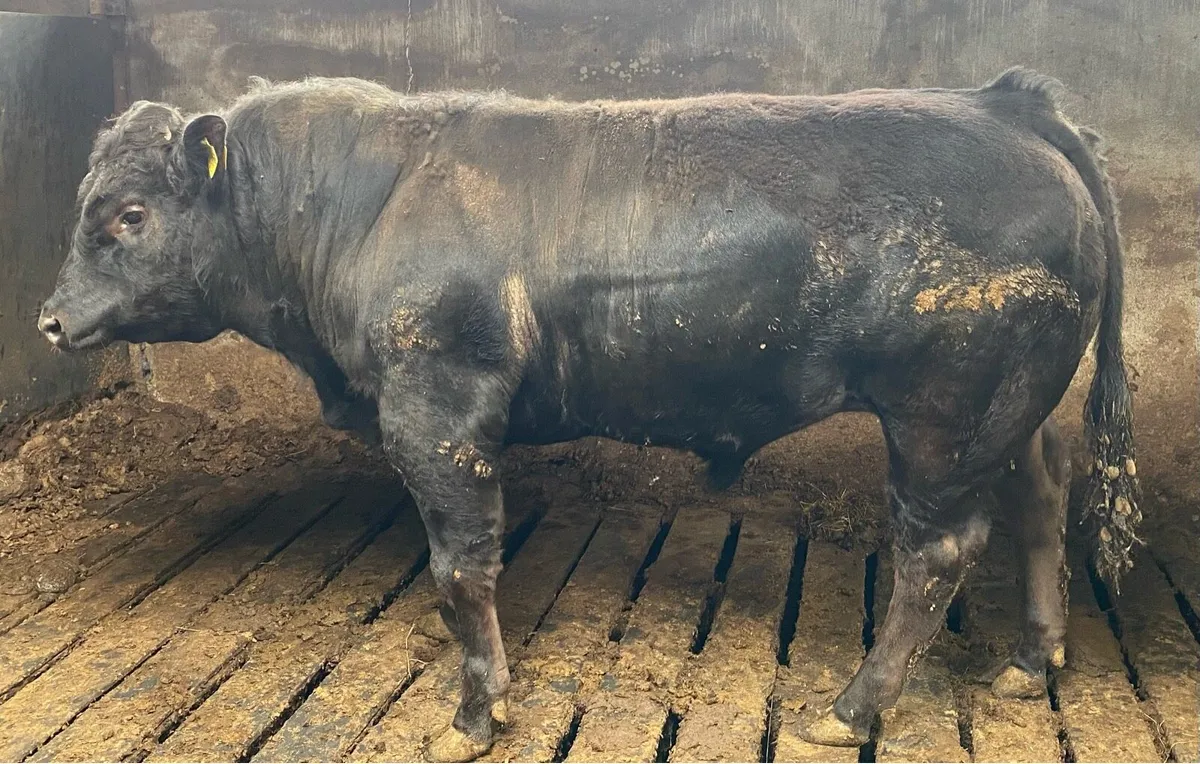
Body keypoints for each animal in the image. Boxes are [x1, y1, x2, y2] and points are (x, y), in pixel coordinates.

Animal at [39, 68, 1140, 761]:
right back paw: (1030, 657)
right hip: (1010, 414)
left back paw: (852, 707)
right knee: (1042, 501)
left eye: (128, 215)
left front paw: (475, 714)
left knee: (937, 554)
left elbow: (459, 565)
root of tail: (1007, 104)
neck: (365, 203)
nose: (49, 319)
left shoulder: (437, 408)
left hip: (943, 418)